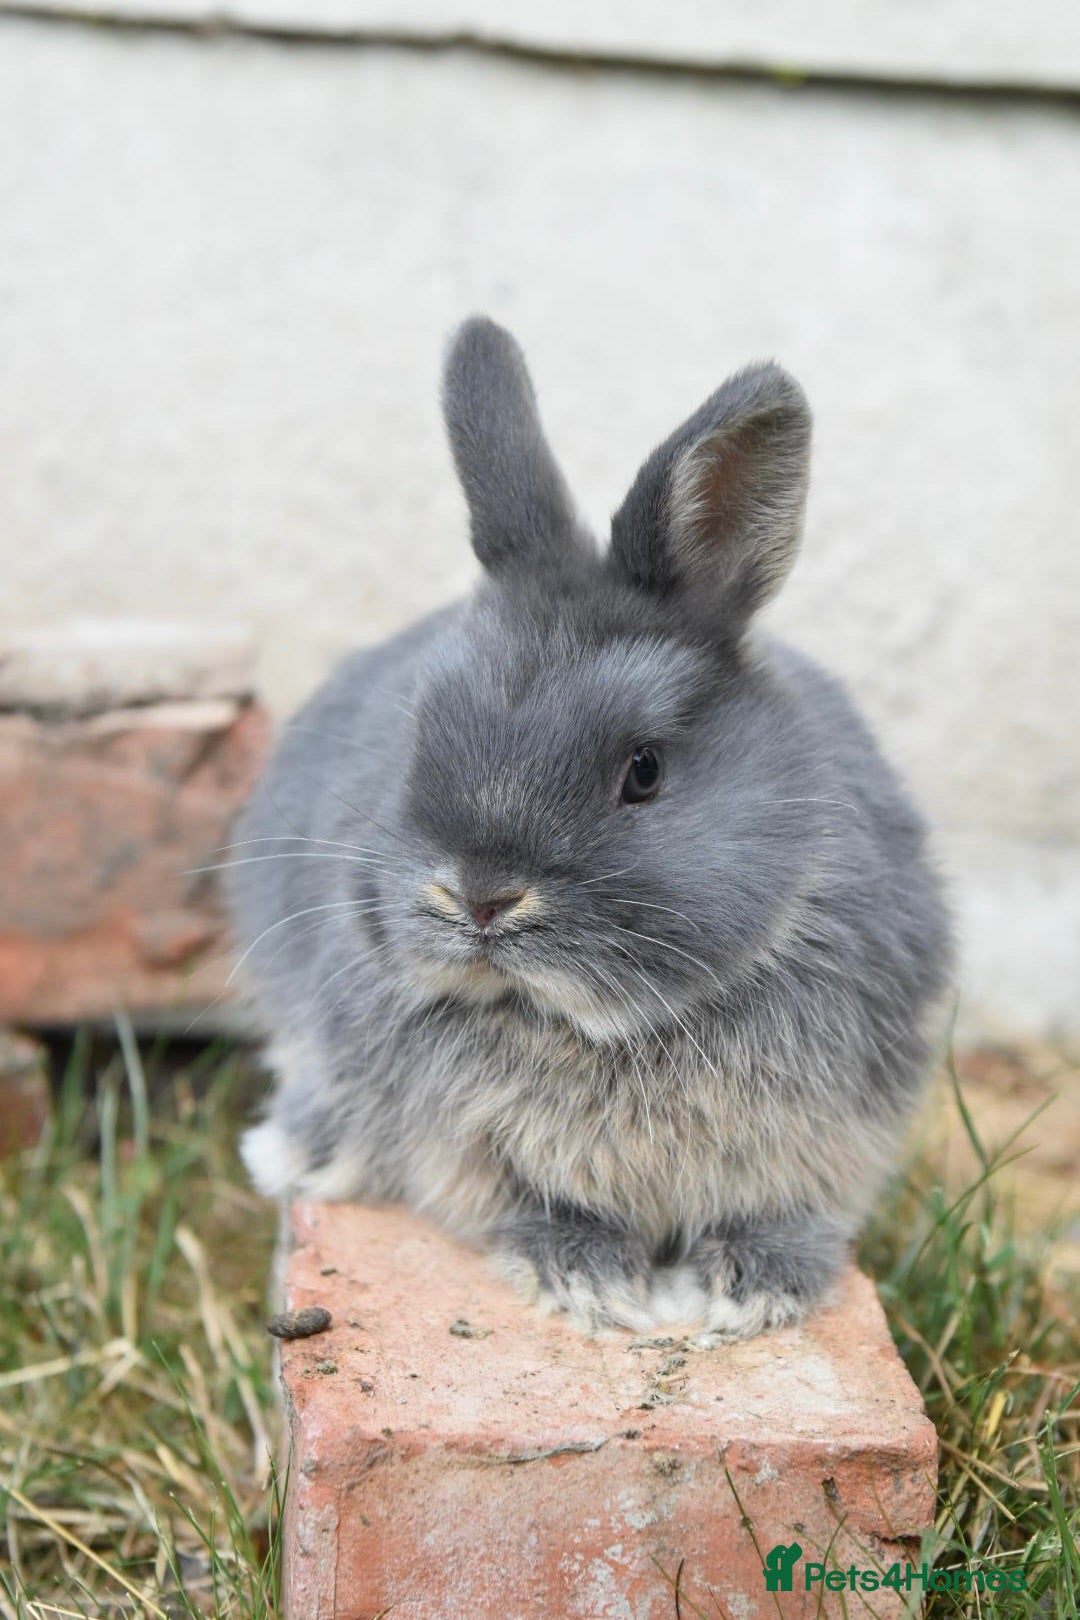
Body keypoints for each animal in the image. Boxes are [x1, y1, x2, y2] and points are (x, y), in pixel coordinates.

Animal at [228, 316, 952, 1338]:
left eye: (642, 771)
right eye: (420, 731)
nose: (480, 898)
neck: (587, 1029)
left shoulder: (830, 1138)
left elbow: (784, 1215)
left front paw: (748, 1292)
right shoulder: (475, 1148)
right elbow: (537, 1204)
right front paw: (591, 1281)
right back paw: (301, 1150)